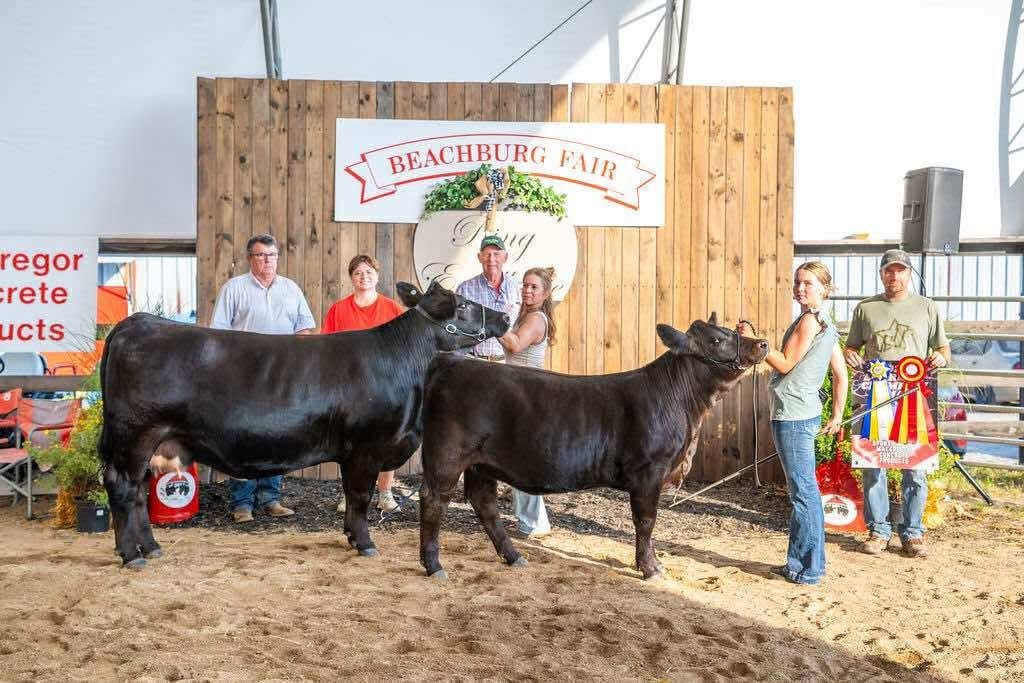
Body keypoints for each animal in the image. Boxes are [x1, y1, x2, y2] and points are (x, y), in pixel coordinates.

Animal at [99, 280, 509, 569]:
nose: (505, 317)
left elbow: (351, 497)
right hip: (134, 435)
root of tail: (137, 322)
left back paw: (151, 548)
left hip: (151, 443)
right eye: (465, 305)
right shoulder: (366, 447)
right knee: (123, 487)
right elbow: (360, 496)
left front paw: (351, 537)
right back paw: (131, 555)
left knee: (138, 492)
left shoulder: (352, 452)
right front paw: (365, 544)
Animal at [417, 314, 769, 580]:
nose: (762, 343)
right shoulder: (649, 473)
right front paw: (651, 568)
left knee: (484, 503)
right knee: (433, 499)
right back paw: (434, 565)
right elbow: (646, 522)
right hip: (447, 455)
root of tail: (449, 362)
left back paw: (514, 556)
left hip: (481, 463)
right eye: (717, 340)